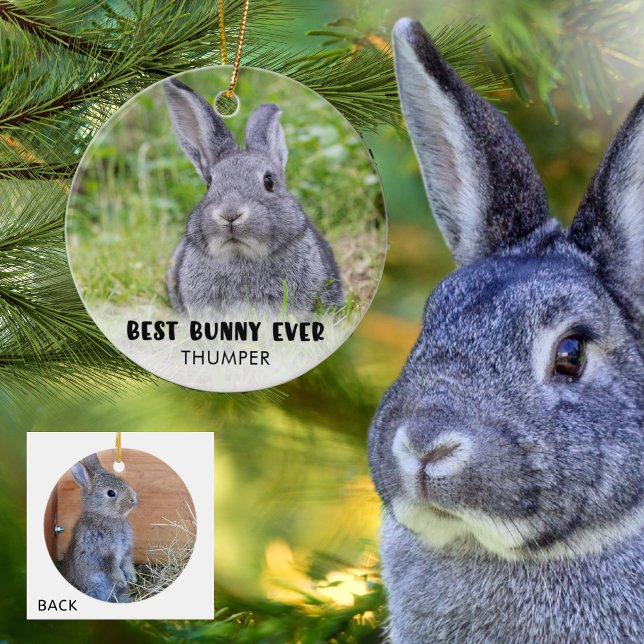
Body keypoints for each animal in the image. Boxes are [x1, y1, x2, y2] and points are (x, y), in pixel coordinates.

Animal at [62, 453, 138, 603]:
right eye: (111, 493)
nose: (133, 499)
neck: (105, 517)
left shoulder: (126, 549)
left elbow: (127, 562)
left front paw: (132, 578)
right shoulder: (102, 552)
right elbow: (111, 568)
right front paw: (121, 581)